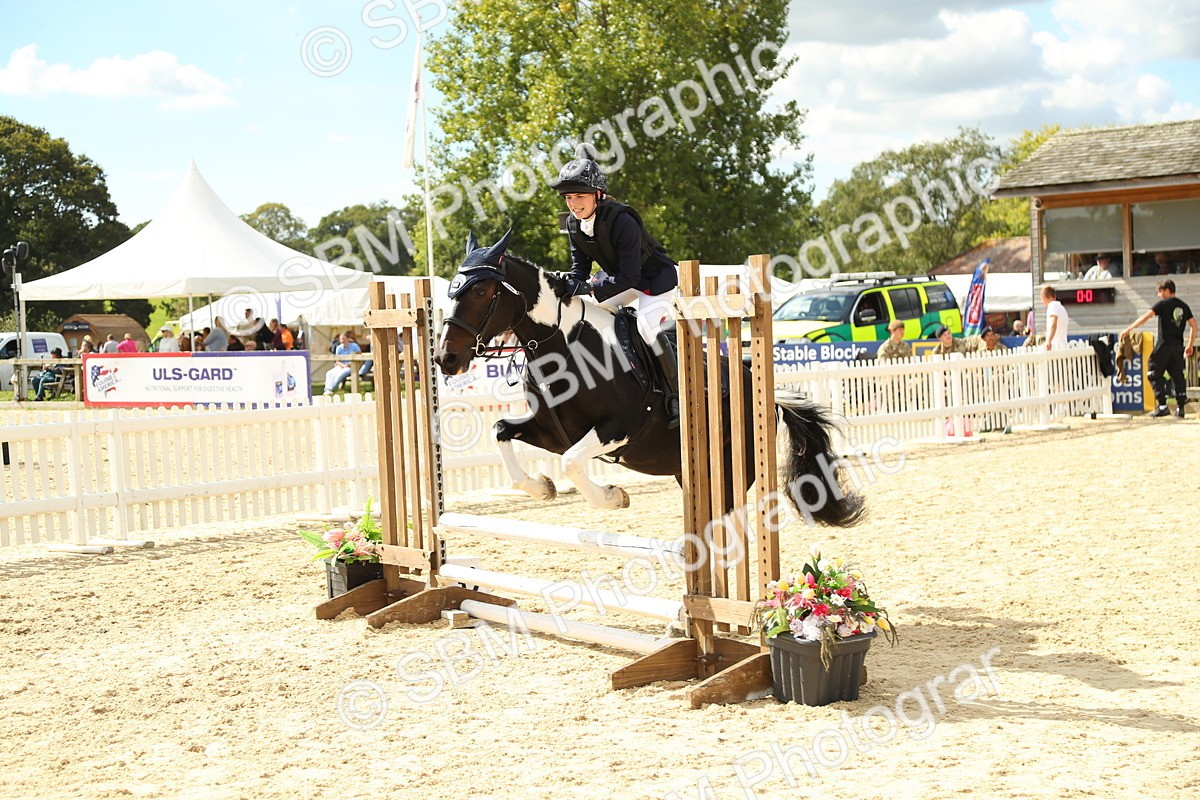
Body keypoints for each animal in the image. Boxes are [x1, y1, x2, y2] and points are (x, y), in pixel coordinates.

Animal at [431, 230, 864, 526]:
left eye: (481, 291)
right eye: (452, 291)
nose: (445, 358)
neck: (563, 344)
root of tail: (766, 396)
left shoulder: (617, 428)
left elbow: (571, 463)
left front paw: (614, 497)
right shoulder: (551, 432)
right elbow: (501, 431)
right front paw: (541, 487)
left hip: (730, 465)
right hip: (685, 469)